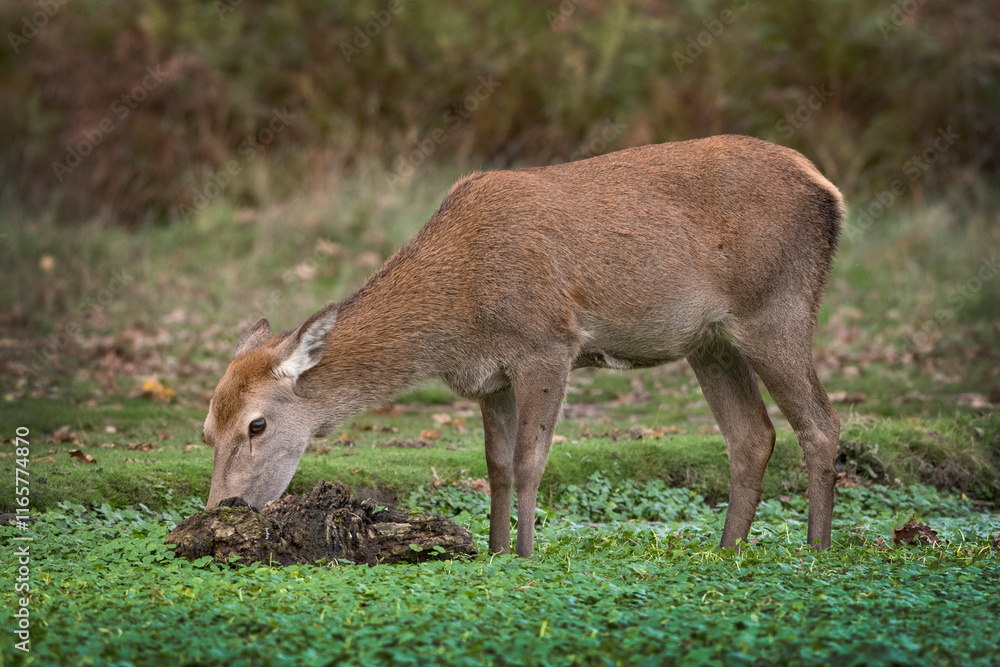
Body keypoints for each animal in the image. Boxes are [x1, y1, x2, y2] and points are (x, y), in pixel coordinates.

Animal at [202, 134, 844, 557]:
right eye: (207, 429)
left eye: (257, 424)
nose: (218, 511)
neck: (457, 312)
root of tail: (829, 191)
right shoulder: (491, 377)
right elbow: (496, 466)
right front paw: (493, 550)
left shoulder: (547, 344)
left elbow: (531, 460)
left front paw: (527, 555)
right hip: (709, 341)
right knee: (752, 435)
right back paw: (728, 549)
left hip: (777, 306)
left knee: (821, 424)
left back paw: (816, 549)